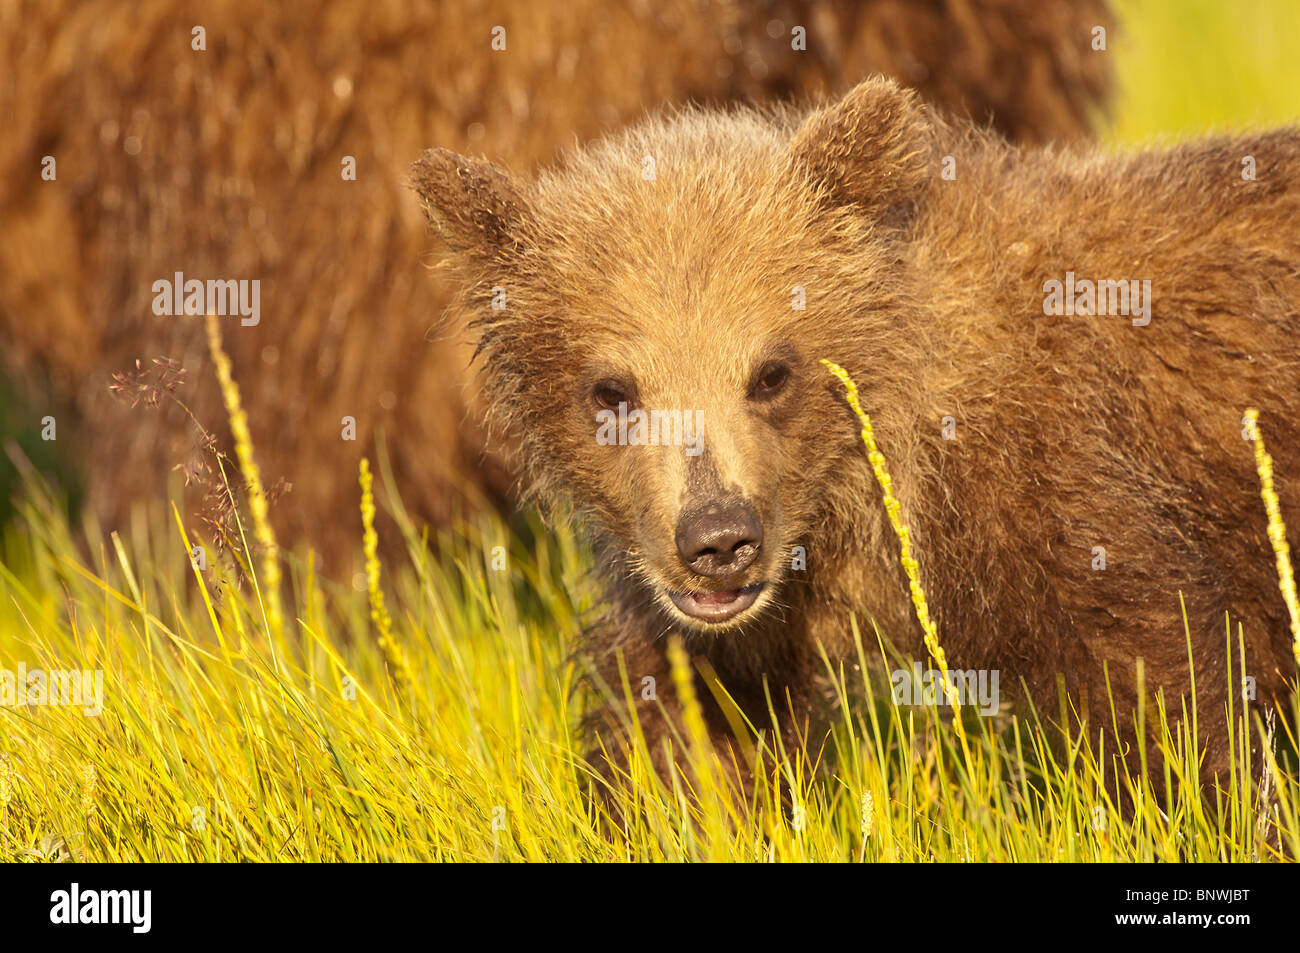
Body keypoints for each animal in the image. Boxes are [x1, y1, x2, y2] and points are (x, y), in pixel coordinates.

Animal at [412, 74, 1300, 799]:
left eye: (771, 371)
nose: (719, 537)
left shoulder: (1055, 487)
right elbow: (680, 729)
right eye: (612, 389)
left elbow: (1170, 686)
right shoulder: (724, 626)